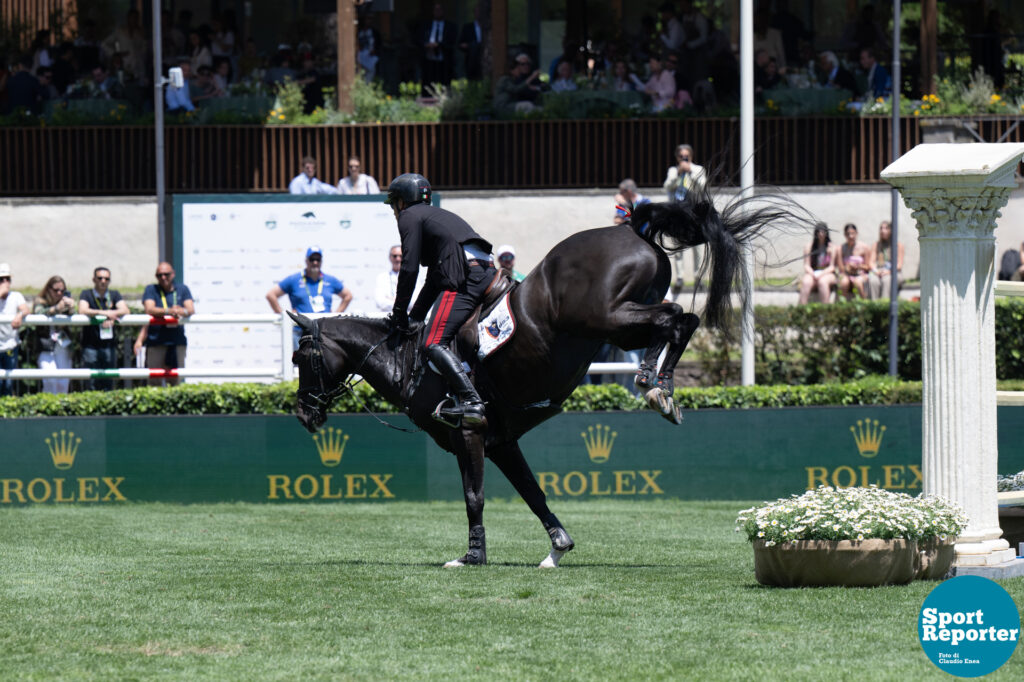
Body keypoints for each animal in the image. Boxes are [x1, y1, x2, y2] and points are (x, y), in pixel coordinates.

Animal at [290, 188, 806, 565]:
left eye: (299, 358)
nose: (302, 414)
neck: (408, 361)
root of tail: (632, 231)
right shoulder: (501, 440)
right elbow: (532, 492)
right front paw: (558, 547)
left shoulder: (469, 434)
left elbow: (474, 496)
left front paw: (472, 556)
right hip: (619, 317)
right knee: (680, 318)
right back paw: (658, 386)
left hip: (603, 317)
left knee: (677, 319)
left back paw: (652, 383)